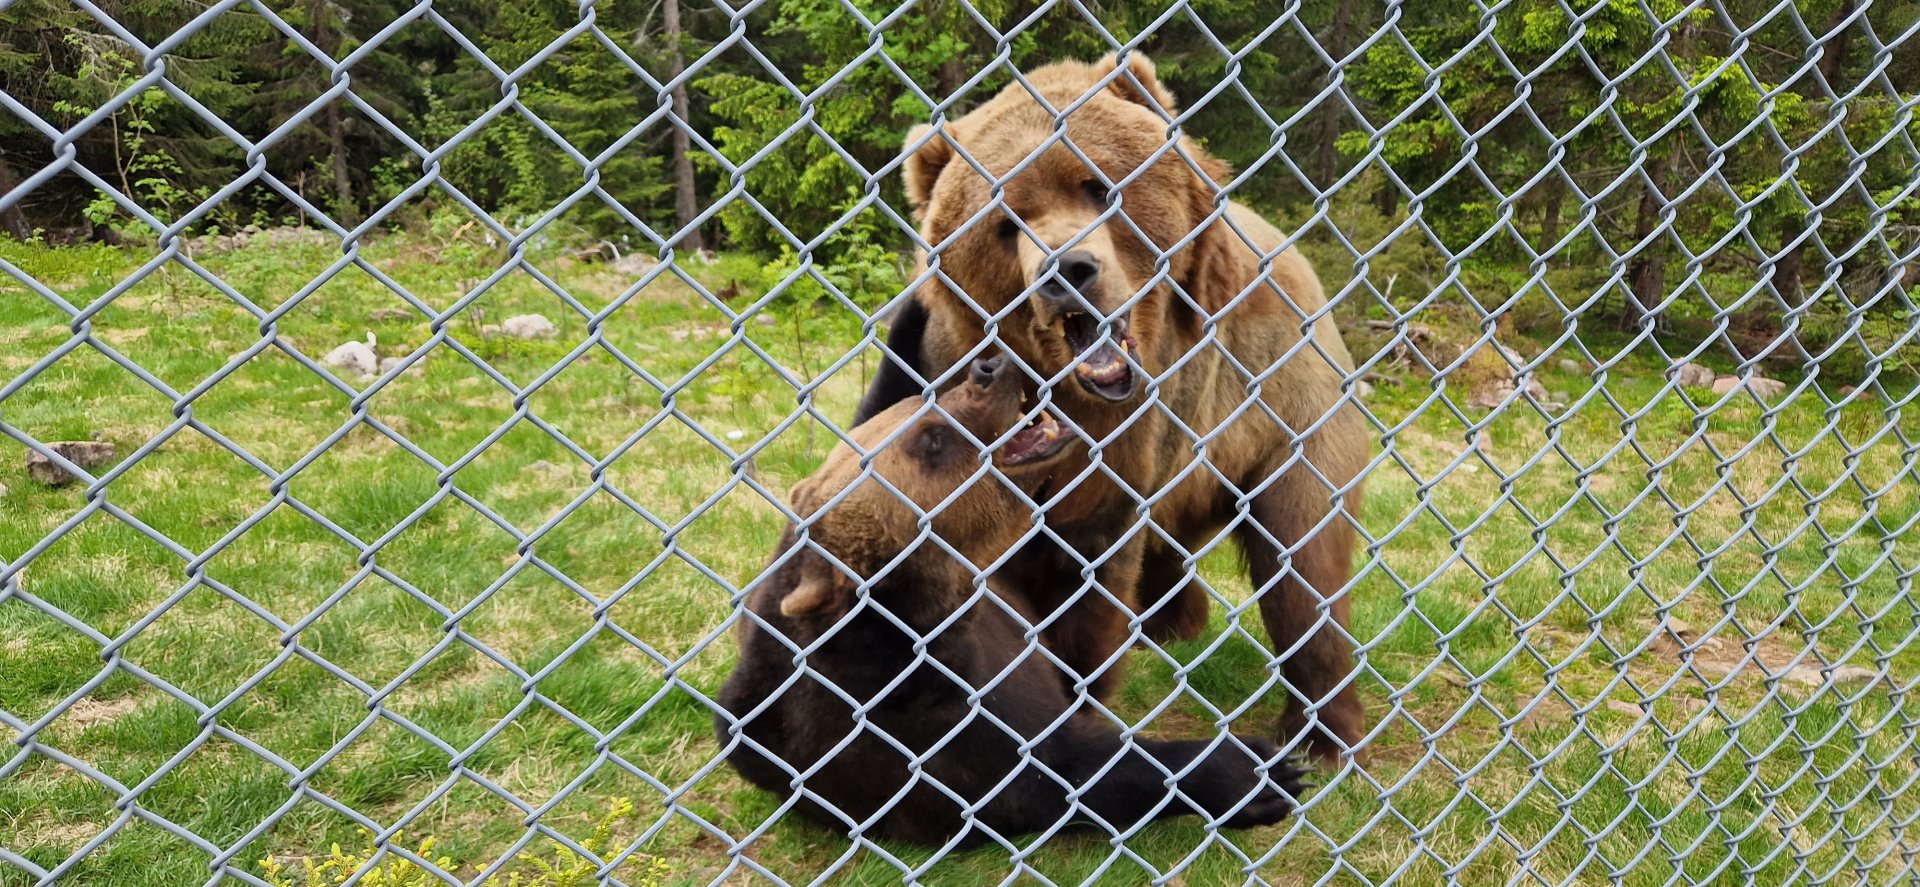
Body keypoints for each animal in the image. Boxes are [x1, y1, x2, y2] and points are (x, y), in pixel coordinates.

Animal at [714, 355, 1312, 846]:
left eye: (919, 409)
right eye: (932, 440)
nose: (986, 368)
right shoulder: (922, 732)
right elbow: (1060, 776)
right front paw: (1253, 772)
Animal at [852, 54, 1372, 763]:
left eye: (1097, 186)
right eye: (1005, 222)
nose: (1066, 270)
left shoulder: (1131, 437)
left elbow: (1088, 570)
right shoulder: (946, 381)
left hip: (1285, 404)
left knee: (1304, 557)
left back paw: (1321, 729)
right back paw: (1175, 621)